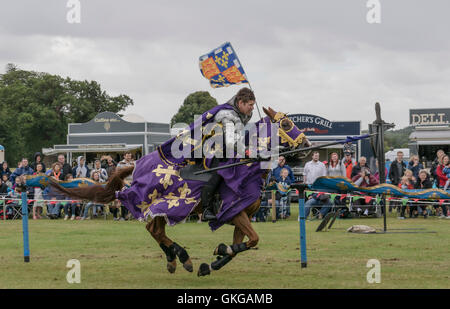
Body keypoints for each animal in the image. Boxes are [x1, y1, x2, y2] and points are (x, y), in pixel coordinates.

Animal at [48, 105, 310, 274]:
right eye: (287, 123)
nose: (307, 144)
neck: (248, 168)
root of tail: (138, 164)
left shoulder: (240, 215)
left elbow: (241, 246)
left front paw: (213, 263)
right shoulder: (235, 213)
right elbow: (252, 240)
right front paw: (217, 252)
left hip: (162, 208)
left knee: (154, 230)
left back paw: (174, 259)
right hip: (161, 204)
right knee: (154, 230)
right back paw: (181, 257)